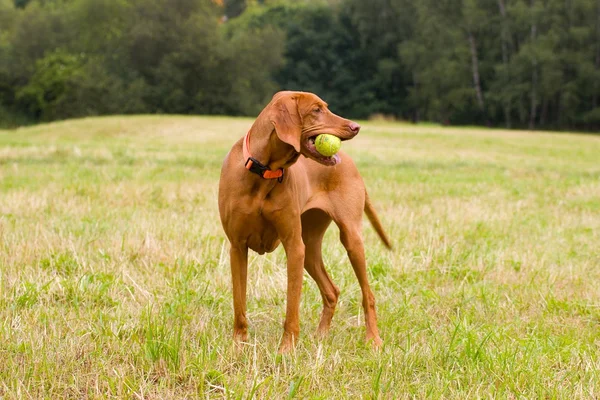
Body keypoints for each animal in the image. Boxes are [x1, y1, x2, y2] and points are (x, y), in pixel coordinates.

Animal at [218, 90, 392, 354]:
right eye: (316, 110)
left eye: (325, 107)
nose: (356, 126)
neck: (264, 171)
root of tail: (351, 163)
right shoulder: (237, 247)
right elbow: (239, 304)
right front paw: (239, 345)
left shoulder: (293, 247)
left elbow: (292, 307)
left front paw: (287, 349)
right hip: (310, 248)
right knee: (331, 291)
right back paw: (320, 336)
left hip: (349, 240)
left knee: (367, 295)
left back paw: (373, 339)